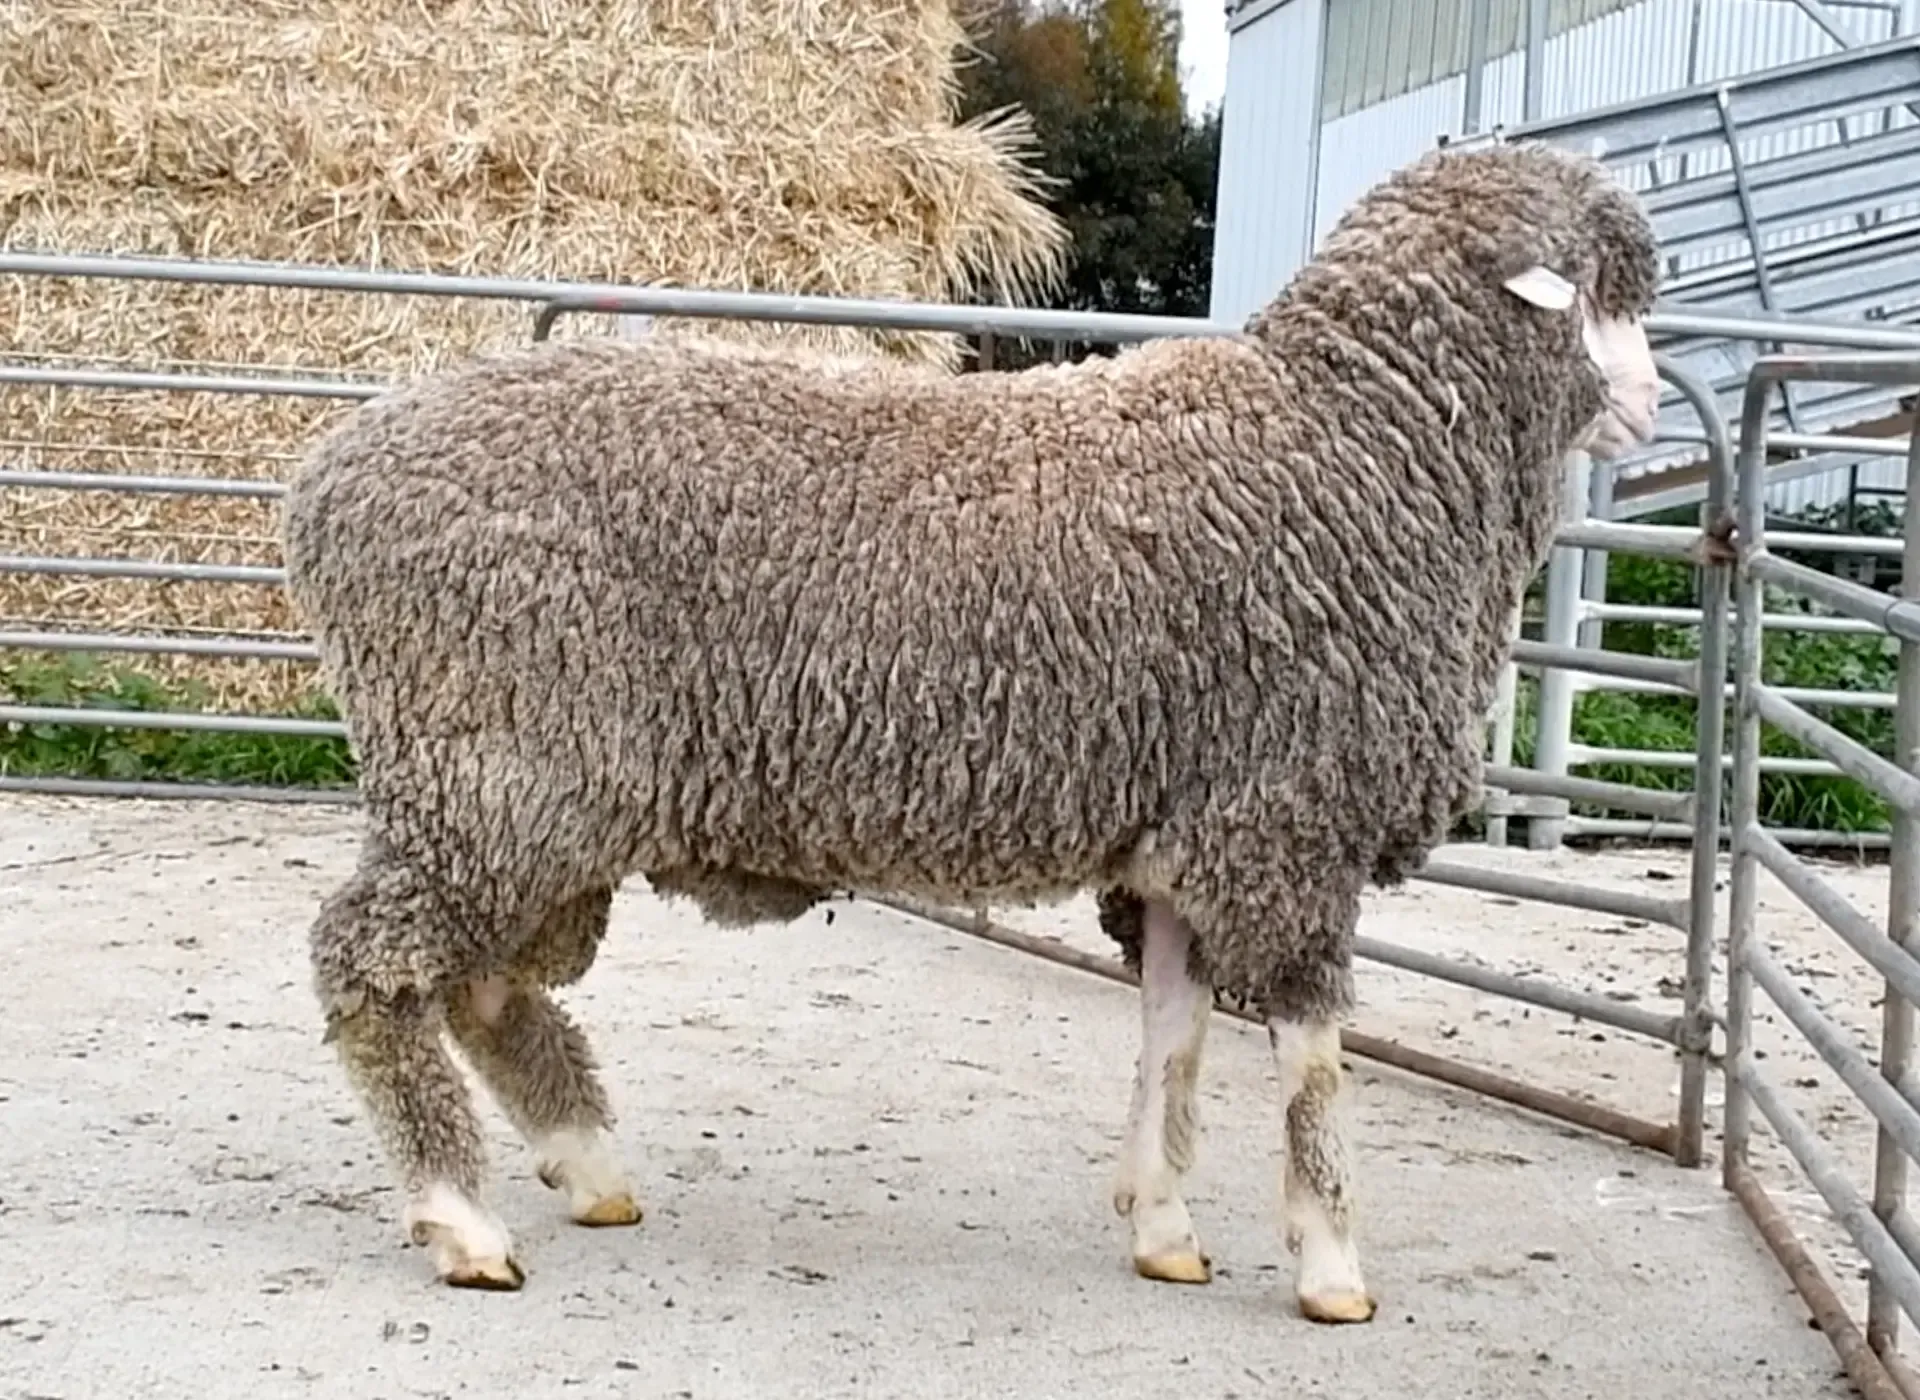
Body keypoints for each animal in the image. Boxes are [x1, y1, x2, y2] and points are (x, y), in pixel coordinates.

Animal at [279, 138, 1663, 1317]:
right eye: (1601, 299)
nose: (1653, 407)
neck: (1360, 451)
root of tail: (328, 477)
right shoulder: (1285, 817)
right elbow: (1312, 1058)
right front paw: (1331, 1262)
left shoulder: (1181, 830)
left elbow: (1174, 1035)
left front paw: (1164, 1226)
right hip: (494, 764)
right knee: (372, 961)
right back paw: (460, 1217)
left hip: (528, 790)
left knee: (479, 977)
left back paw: (585, 1163)